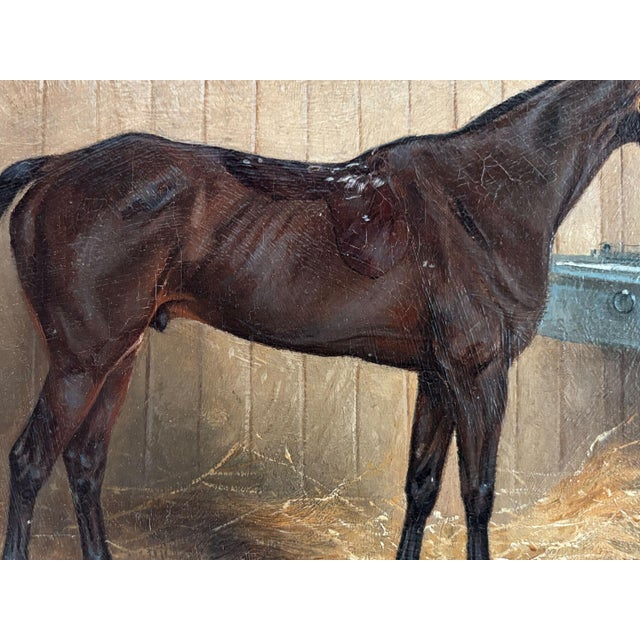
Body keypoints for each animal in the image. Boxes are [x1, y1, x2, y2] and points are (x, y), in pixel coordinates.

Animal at [1, 80, 639, 560]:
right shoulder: (478, 373)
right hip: (82, 361)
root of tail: (53, 168)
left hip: (119, 356)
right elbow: (478, 494)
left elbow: (422, 486)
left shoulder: (439, 376)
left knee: (84, 463)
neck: (484, 195)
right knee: (30, 462)